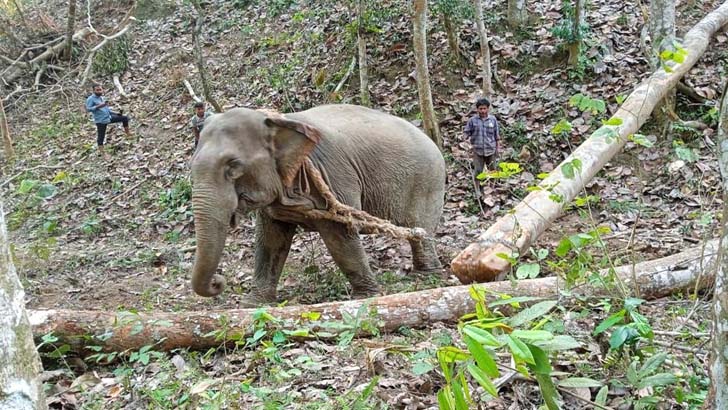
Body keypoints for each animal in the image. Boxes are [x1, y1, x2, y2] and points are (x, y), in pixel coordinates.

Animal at [191, 104, 446, 306]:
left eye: (233, 167)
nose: (218, 282)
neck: (281, 121)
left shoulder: (333, 177)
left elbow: (340, 236)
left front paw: (366, 297)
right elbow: (271, 239)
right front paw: (253, 304)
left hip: (427, 183)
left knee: (421, 230)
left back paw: (426, 275)